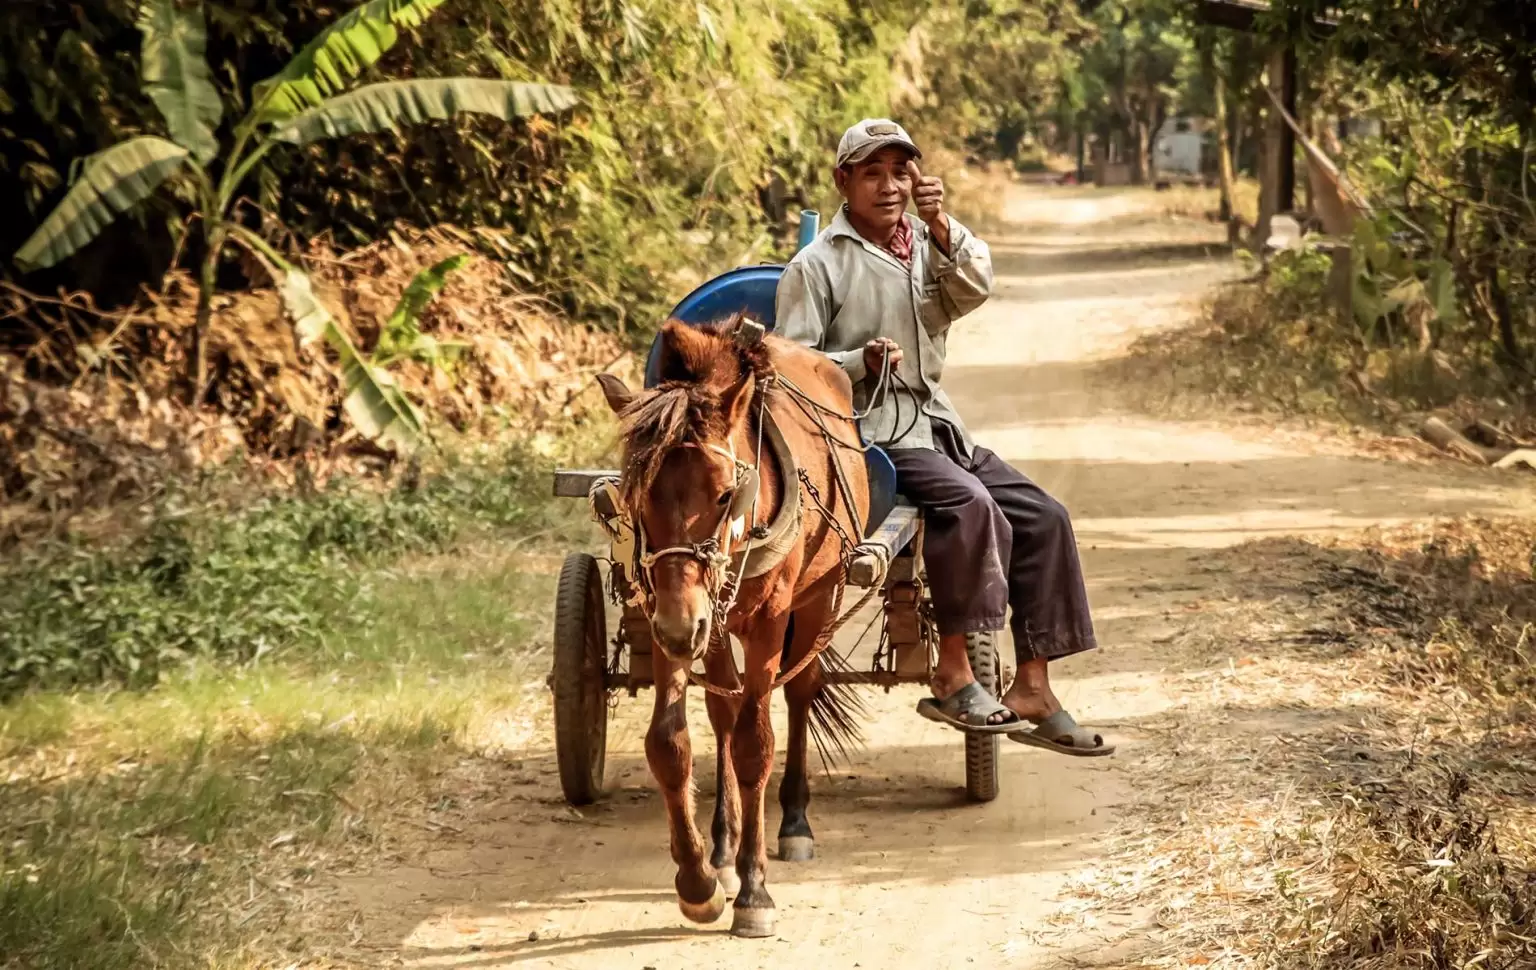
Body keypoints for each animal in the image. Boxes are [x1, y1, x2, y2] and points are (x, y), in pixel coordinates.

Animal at [592, 317, 872, 939]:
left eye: (725, 493)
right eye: (635, 493)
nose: (681, 627)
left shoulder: (766, 619)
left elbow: (754, 744)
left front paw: (754, 890)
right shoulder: (671, 614)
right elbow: (670, 743)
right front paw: (698, 880)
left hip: (817, 597)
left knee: (799, 691)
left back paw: (793, 821)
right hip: (714, 626)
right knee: (722, 710)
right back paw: (722, 847)